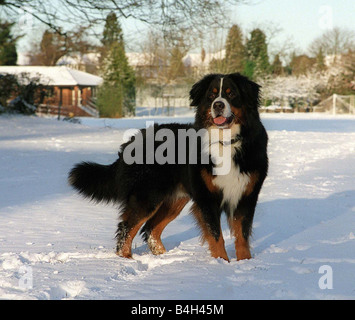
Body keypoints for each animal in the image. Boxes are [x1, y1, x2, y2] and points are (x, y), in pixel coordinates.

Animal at [69, 73, 268, 262]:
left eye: (231, 93)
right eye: (211, 95)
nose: (218, 105)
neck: (225, 141)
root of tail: (134, 138)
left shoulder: (246, 194)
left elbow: (242, 235)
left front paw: (245, 264)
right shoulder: (207, 197)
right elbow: (216, 235)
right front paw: (221, 263)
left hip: (174, 199)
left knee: (151, 229)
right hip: (148, 196)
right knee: (127, 228)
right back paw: (126, 260)